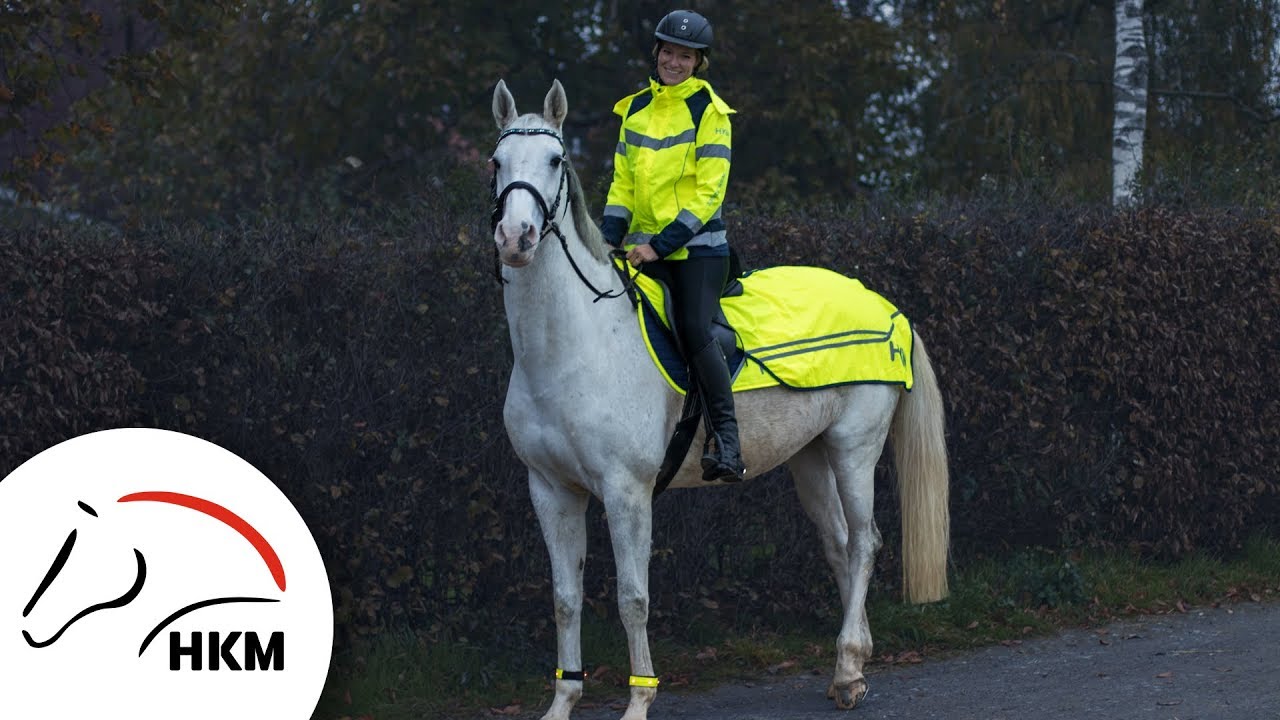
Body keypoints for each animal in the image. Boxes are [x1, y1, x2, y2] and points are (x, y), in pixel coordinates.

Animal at [490, 79, 950, 720]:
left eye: (556, 160)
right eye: (496, 162)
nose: (516, 238)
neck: (571, 346)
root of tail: (889, 309)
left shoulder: (627, 493)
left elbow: (633, 597)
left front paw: (639, 701)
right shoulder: (552, 490)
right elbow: (564, 597)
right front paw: (563, 701)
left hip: (854, 449)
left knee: (864, 543)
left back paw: (848, 663)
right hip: (809, 457)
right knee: (838, 544)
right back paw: (849, 671)